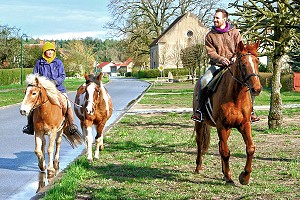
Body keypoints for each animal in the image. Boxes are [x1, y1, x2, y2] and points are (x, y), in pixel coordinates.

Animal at [193, 39, 262, 185]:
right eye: (243, 64)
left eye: (257, 62)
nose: (257, 89)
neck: (236, 97)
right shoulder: (222, 126)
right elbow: (226, 152)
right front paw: (230, 178)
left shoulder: (244, 124)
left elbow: (250, 148)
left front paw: (244, 177)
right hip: (200, 123)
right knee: (200, 143)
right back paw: (198, 167)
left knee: (220, 145)